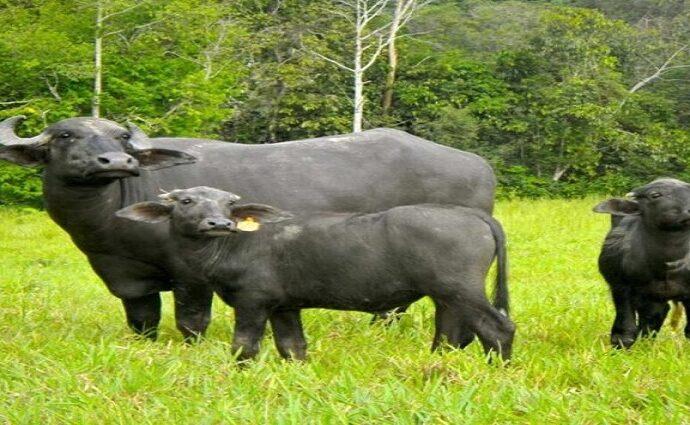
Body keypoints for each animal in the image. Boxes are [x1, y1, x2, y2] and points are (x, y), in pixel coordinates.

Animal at [0, 116, 497, 339]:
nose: (116, 162)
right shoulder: (128, 279)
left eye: (121, 136)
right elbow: (143, 322)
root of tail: (478, 164)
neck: (112, 214)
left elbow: (192, 322)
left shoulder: (191, 277)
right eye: (65, 135)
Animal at [116, 186, 515, 361]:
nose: (219, 223)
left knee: (498, 328)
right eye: (187, 202)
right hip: (447, 294)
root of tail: (470, 215)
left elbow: (244, 345)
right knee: (452, 332)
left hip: (461, 288)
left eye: (228, 204)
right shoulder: (283, 306)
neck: (233, 246)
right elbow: (292, 346)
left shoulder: (252, 301)